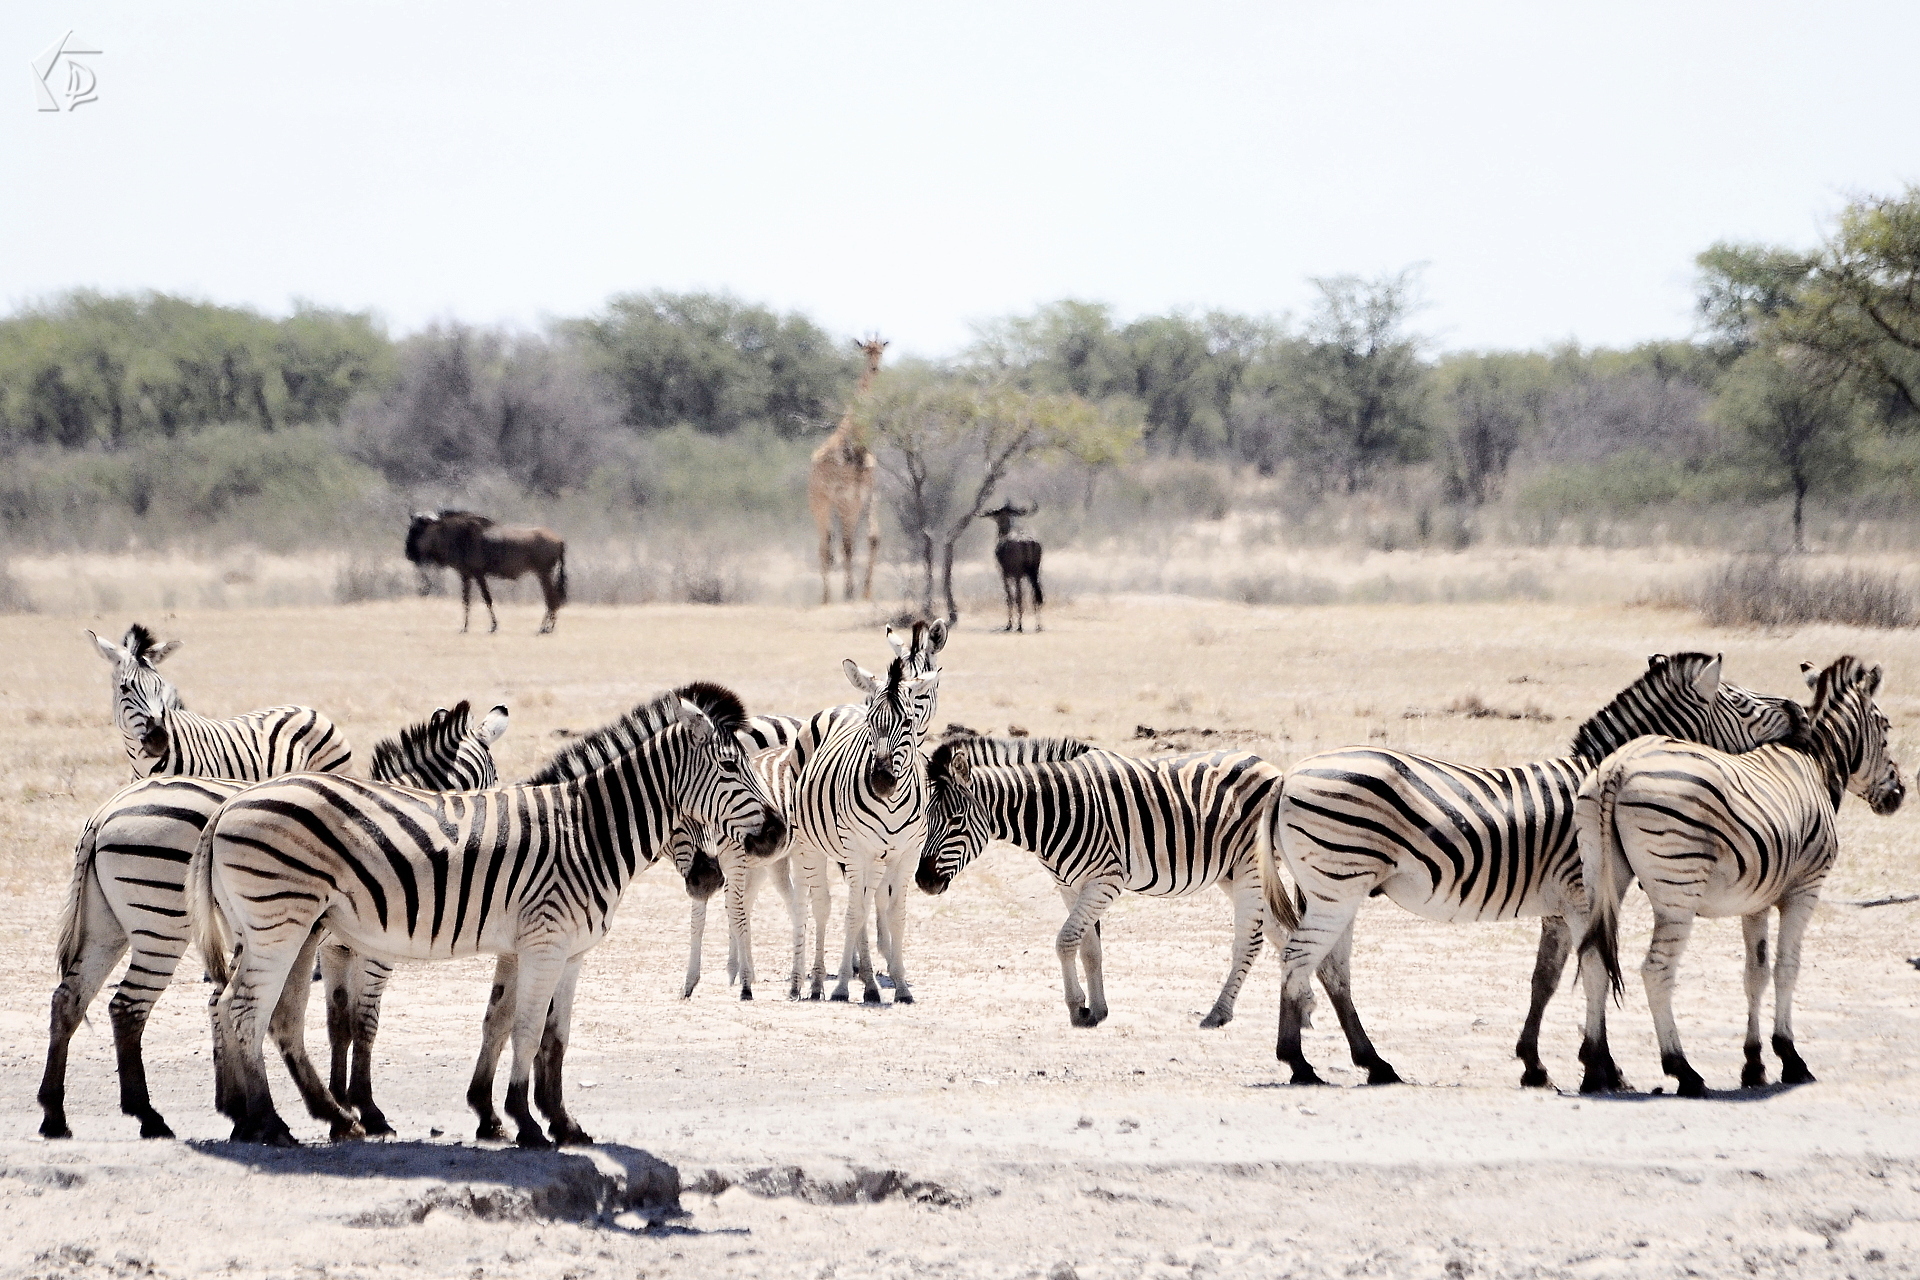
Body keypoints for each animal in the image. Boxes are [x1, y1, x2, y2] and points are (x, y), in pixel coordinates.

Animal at [37, 702, 508, 1141]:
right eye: (488, 778)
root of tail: (106, 812)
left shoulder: (335, 949)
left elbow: (338, 1023)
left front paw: (339, 1105)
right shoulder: (372, 950)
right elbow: (363, 1022)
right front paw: (366, 1111)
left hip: (108, 925)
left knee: (69, 999)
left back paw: (55, 1114)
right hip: (163, 923)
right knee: (127, 1007)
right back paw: (149, 1116)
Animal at [190, 683, 783, 1148]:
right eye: (731, 767)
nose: (777, 834)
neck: (587, 831)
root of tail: (230, 804)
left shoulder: (559, 951)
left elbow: (542, 1032)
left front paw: (555, 1122)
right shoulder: (544, 943)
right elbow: (525, 1028)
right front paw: (526, 1122)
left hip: (283, 930)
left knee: (259, 1011)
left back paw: (299, 1117)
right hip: (279, 926)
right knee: (245, 1009)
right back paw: (269, 1121)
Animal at [916, 735, 1284, 1028]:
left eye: (956, 820)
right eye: (926, 818)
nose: (923, 881)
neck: (1053, 810)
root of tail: (1266, 763)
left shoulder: (1105, 880)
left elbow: (1065, 941)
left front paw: (1078, 1009)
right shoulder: (1069, 885)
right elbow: (1089, 948)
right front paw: (1097, 1009)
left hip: (1251, 866)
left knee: (1250, 941)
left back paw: (1219, 1012)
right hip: (1230, 872)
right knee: (1282, 933)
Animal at [1262, 652, 1806, 1088]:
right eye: (1740, 701)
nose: (1801, 712)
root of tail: (1288, 776)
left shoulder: (1561, 907)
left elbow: (1545, 979)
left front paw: (1535, 1064)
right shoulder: (1583, 895)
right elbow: (1593, 972)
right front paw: (1602, 1067)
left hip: (1335, 888)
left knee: (1331, 969)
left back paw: (1373, 1063)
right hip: (1338, 883)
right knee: (1299, 957)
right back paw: (1298, 1062)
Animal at [1575, 655, 1903, 1097]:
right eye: (1885, 728)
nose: (1899, 795)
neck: (1816, 764)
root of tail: (1618, 768)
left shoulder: (1756, 900)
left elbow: (1755, 974)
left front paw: (1754, 1064)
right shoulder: (1805, 889)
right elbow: (1786, 968)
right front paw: (1791, 1058)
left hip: (1599, 874)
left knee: (1593, 959)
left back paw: (1596, 1070)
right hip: (1678, 892)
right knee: (1656, 971)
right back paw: (1683, 1069)